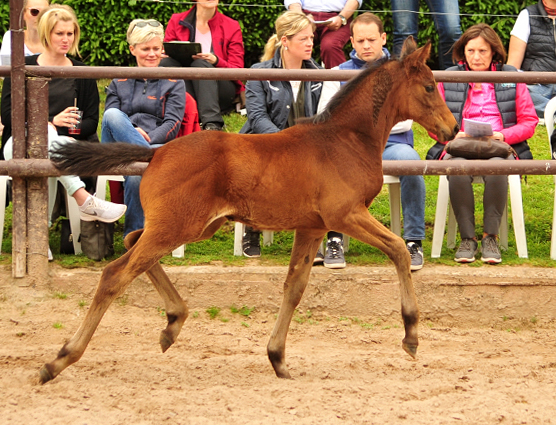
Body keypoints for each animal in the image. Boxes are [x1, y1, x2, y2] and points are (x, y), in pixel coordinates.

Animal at [44, 39, 456, 382]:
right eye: (429, 87)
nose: (452, 129)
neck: (345, 139)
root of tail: (156, 152)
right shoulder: (346, 215)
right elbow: (399, 250)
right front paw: (411, 335)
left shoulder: (312, 227)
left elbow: (294, 287)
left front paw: (277, 358)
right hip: (178, 226)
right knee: (116, 273)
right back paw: (59, 360)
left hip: (193, 226)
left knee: (132, 240)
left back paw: (173, 322)